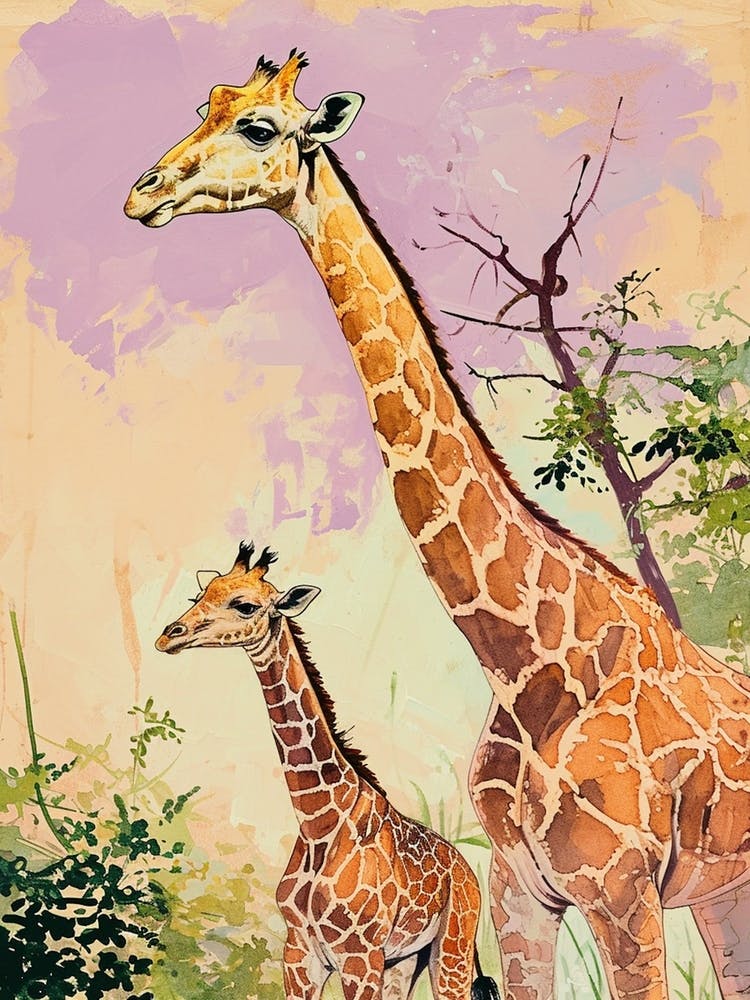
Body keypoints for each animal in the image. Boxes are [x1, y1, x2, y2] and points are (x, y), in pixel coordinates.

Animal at [155, 541, 498, 1000]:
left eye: (245, 605)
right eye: (200, 595)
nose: (169, 635)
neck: (316, 821)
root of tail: (466, 871)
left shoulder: (359, 955)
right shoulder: (300, 954)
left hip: (451, 949)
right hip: (405, 961)